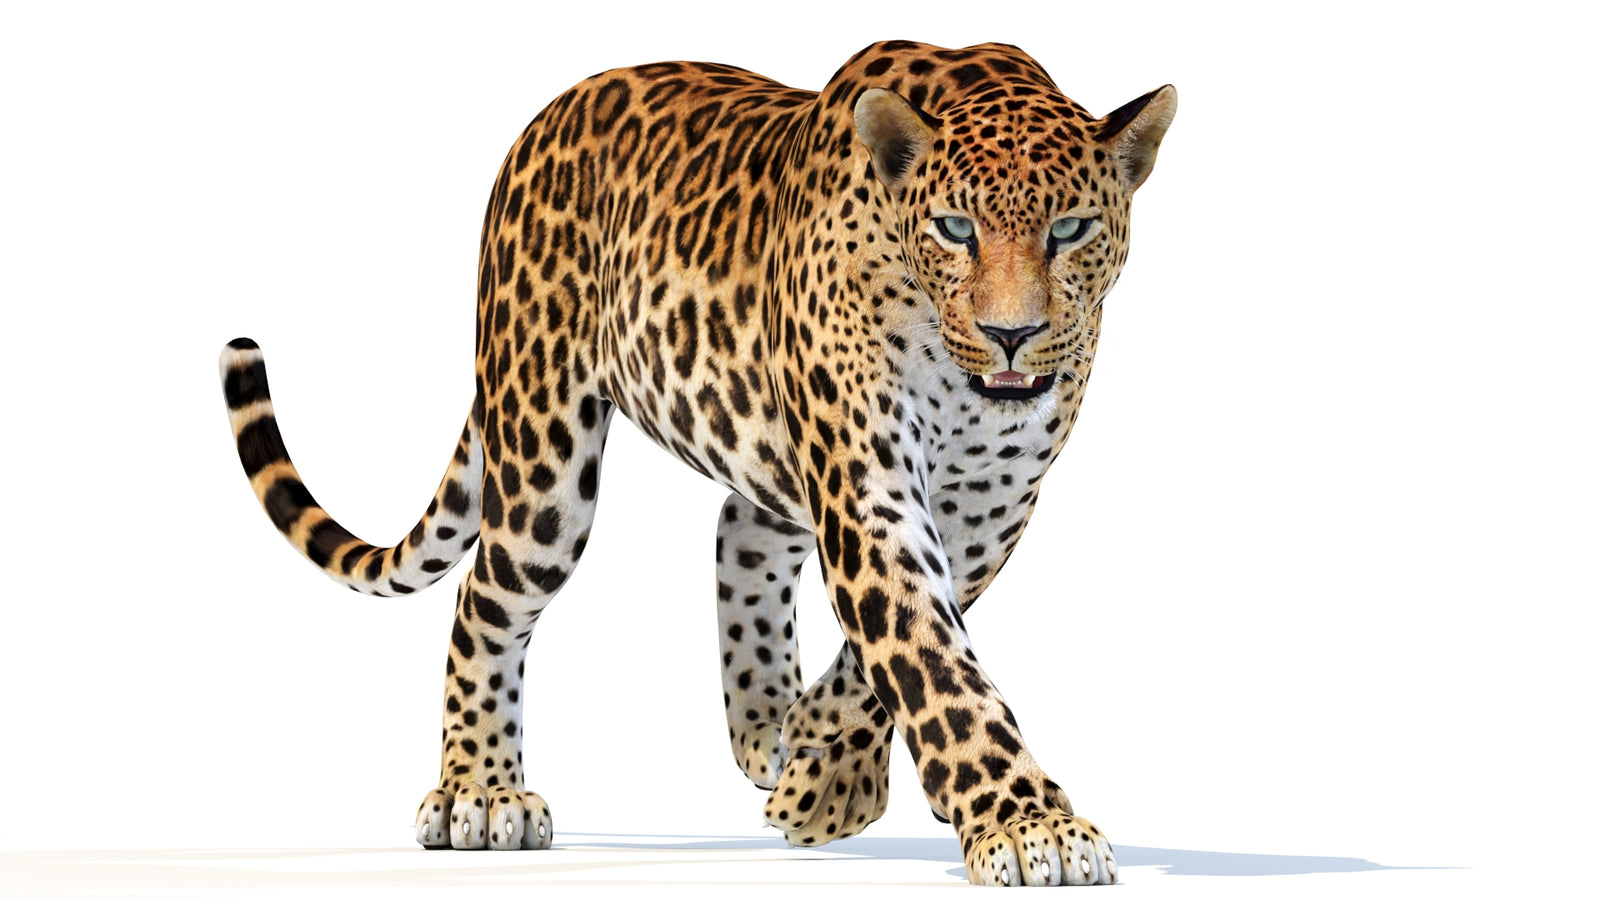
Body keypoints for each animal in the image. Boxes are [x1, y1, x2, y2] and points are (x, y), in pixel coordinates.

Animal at [218, 40, 1174, 886]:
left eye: (1071, 230)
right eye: (954, 229)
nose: (1013, 334)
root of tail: (542, 120)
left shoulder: (990, 503)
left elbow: (900, 652)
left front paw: (823, 765)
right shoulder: (869, 488)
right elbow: (930, 657)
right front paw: (1025, 827)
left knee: (739, 533)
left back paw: (770, 727)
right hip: (544, 465)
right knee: (484, 600)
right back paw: (480, 791)